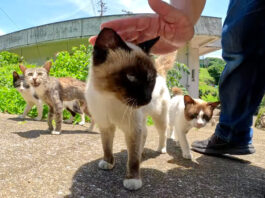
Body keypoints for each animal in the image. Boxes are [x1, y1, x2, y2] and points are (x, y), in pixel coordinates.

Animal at [83, 27, 172, 190]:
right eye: (131, 77)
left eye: (150, 79)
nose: (147, 99)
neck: (111, 98)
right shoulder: (105, 126)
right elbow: (107, 147)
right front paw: (108, 163)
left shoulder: (132, 129)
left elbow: (133, 160)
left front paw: (132, 180)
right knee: (145, 133)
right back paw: (142, 153)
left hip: (159, 117)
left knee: (162, 132)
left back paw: (161, 149)